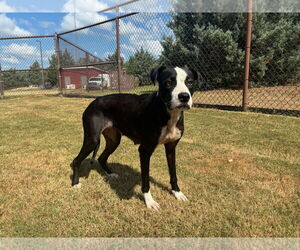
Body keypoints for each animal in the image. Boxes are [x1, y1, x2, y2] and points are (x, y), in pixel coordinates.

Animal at [70, 65, 197, 210]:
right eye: (168, 83)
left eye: (190, 82)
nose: (184, 97)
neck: (167, 112)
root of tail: (93, 101)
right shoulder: (145, 150)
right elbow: (145, 178)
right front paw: (149, 201)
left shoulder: (171, 148)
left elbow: (173, 173)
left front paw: (177, 193)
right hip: (92, 140)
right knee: (76, 160)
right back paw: (75, 183)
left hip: (114, 140)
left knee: (102, 157)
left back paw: (110, 174)